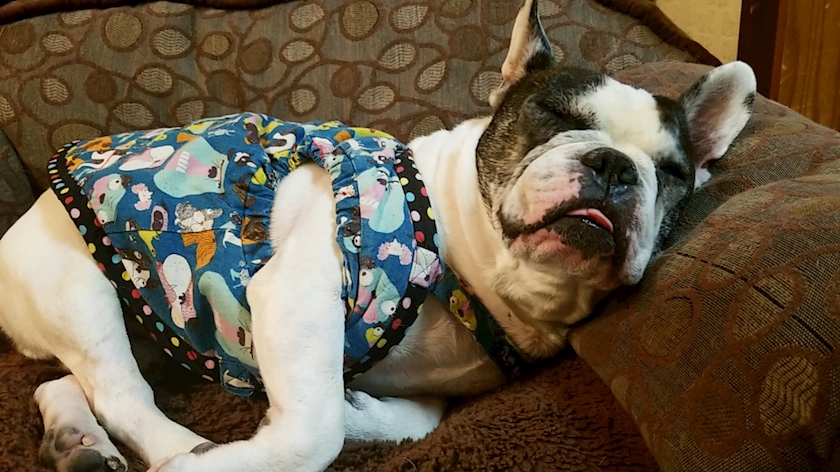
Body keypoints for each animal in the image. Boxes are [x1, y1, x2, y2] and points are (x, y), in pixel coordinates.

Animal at [0, 1, 756, 471]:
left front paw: (361, 409)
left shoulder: (432, 390)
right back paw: (178, 449)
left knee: (70, 383)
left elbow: (402, 420)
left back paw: (75, 440)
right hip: (81, 285)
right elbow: (314, 433)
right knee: (121, 392)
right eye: (552, 115)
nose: (614, 166)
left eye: (673, 173)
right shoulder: (299, 293)